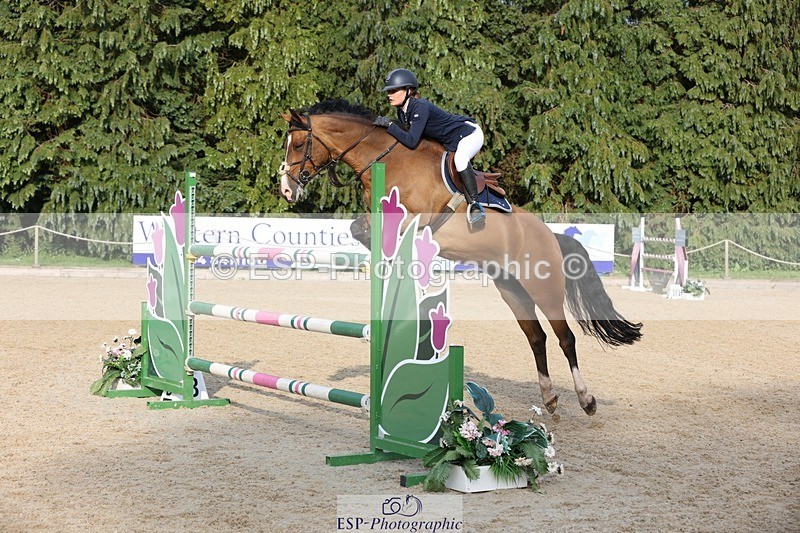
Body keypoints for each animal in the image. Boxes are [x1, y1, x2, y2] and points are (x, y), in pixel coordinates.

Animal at [279, 99, 642, 416]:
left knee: (565, 338)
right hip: (512, 289)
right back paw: (549, 397)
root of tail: (551, 236)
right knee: (536, 337)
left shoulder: (415, 219)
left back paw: (586, 399)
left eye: (296, 145)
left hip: (545, 289)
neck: (388, 160)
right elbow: (358, 228)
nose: (286, 189)